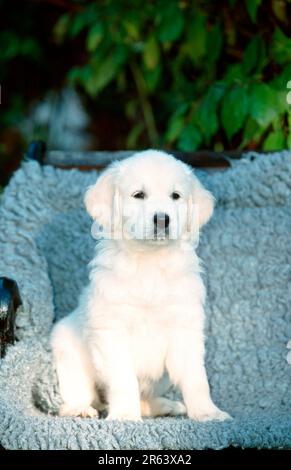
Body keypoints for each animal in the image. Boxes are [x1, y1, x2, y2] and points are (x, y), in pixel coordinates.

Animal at [51, 151, 232, 422]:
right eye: (139, 195)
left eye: (175, 196)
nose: (162, 219)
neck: (149, 263)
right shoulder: (112, 332)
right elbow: (123, 380)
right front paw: (125, 416)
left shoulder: (185, 327)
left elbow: (196, 378)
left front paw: (207, 412)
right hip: (68, 353)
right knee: (77, 395)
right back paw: (80, 409)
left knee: (146, 398)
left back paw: (165, 406)